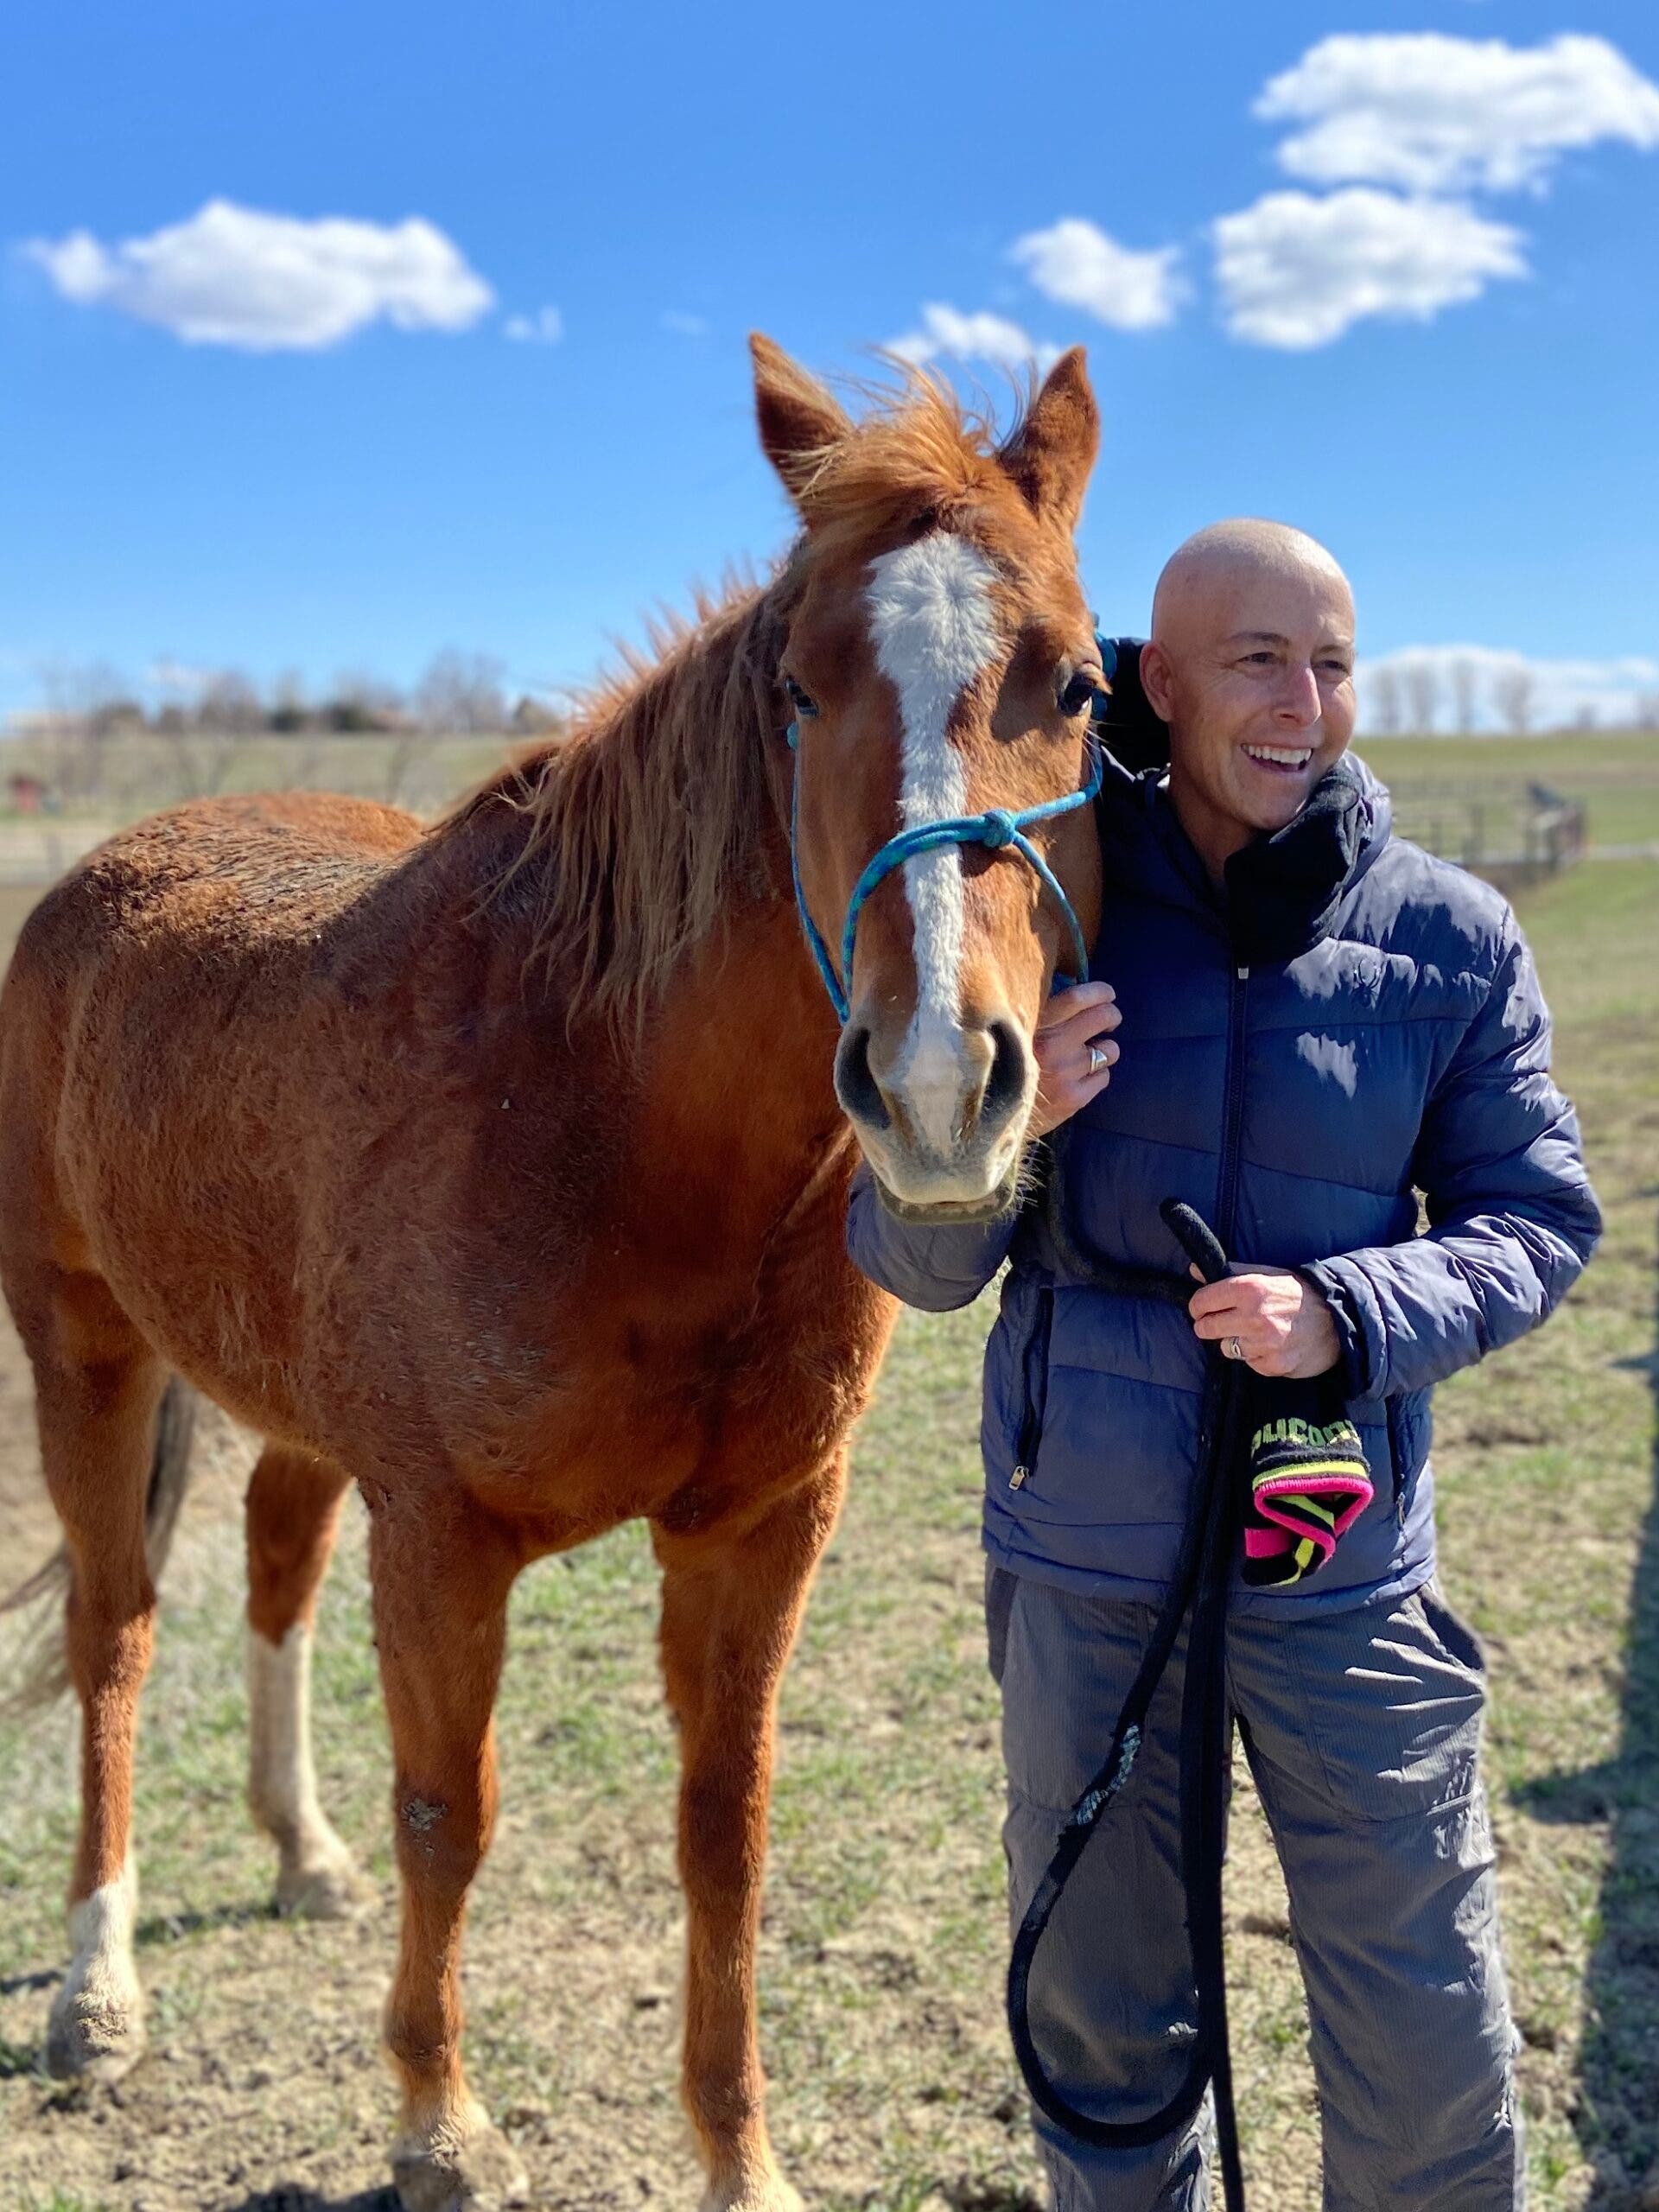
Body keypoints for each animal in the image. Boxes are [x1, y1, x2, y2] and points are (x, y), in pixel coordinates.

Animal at [0, 333, 1105, 2212]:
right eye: (796, 689)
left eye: (1084, 687)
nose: (940, 1084)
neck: (608, 1112)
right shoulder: (444, 1535)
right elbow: (453, 1815)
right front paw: (438, 2124)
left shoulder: (755, 1531)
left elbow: (723, 1832)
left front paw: (740, 2158)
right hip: (85, 1353)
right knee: (116, 1634)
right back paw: (100, 1988)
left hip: (290, 1411)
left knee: (275, 1576)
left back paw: (298, 1849)